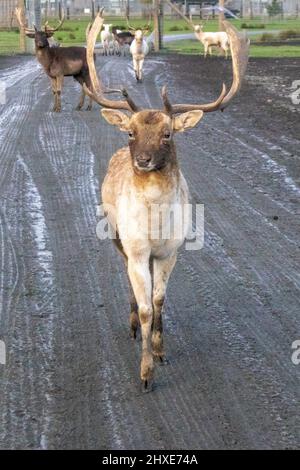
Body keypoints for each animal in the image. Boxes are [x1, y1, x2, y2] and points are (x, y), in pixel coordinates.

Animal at [84, 12, 248, 392]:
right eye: (131, 132)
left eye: (168, 133)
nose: (143, 160)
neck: (156, 226)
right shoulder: (137, 248)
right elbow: (146, 306)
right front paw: (145, 373)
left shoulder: (171, 250)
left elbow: (159, 300)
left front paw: (160, 351)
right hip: (115, 236)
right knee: (127, 278)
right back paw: (131, 324)